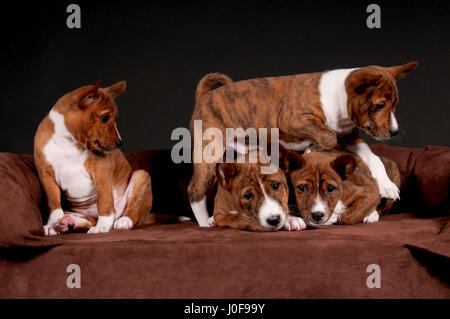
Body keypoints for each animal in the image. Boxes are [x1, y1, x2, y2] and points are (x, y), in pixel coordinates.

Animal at [33, 81, 153, 236]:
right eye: (105, 118)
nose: (120, 142)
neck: (67, 143)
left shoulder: (101, 169)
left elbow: (104, 200)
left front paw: (103, 226)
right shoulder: (45, 174)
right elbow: (54, 205)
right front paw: (52, 225)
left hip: (141, 177)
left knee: (132, 211)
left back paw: (124, 221)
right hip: (75, 211)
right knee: (88, 220)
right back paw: (66, 223)